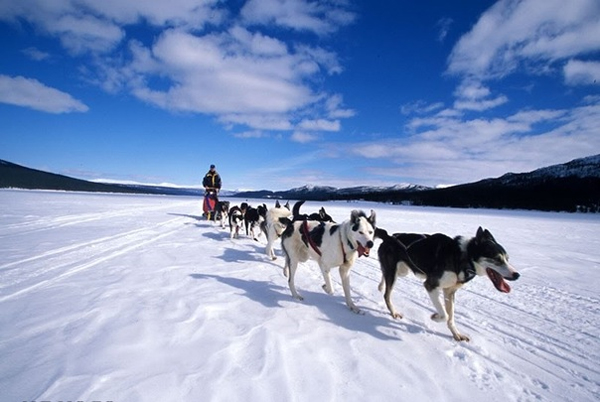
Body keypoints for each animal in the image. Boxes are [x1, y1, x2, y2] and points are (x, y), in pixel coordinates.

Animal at [376, 228, 520, 340]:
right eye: (497, 259)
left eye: (507, 259)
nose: (517, 275)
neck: (462, 257)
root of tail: (389, 237)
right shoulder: (431, 286)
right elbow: (445, 315)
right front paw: (435, 317)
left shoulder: (449, 292)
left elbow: (451, 318)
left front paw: (457, 334)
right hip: (395, 273)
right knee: (387, 295)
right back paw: (393, 312)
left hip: (401, 271)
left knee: (384, 274)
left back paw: (381, 285)